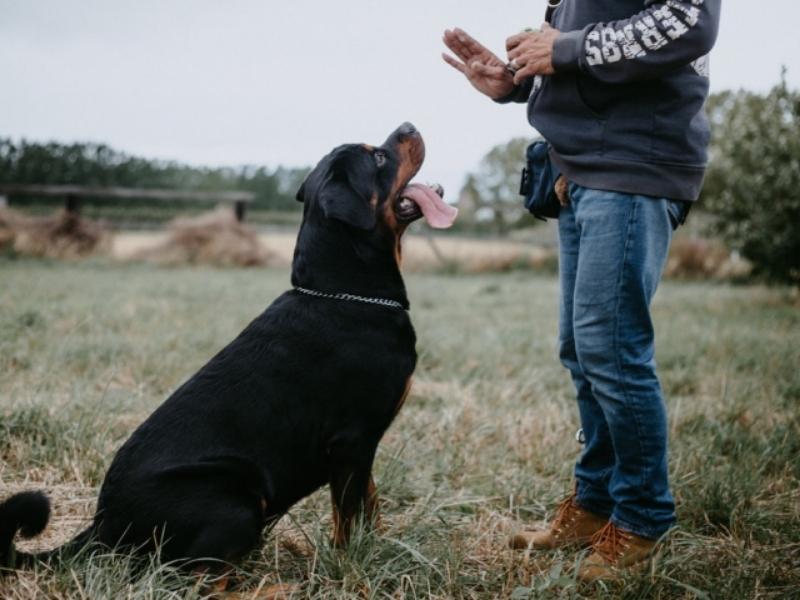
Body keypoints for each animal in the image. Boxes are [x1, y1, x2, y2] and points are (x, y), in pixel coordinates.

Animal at [0, 123, 456, 576]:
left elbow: (371, 507)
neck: (344, 291)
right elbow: (349, 518)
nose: (408, 126)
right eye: (377, 156)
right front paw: (353, 567)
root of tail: (102, 526)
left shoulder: (361, 449)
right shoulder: (351, 442)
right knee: (193, 575)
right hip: (235, 499)